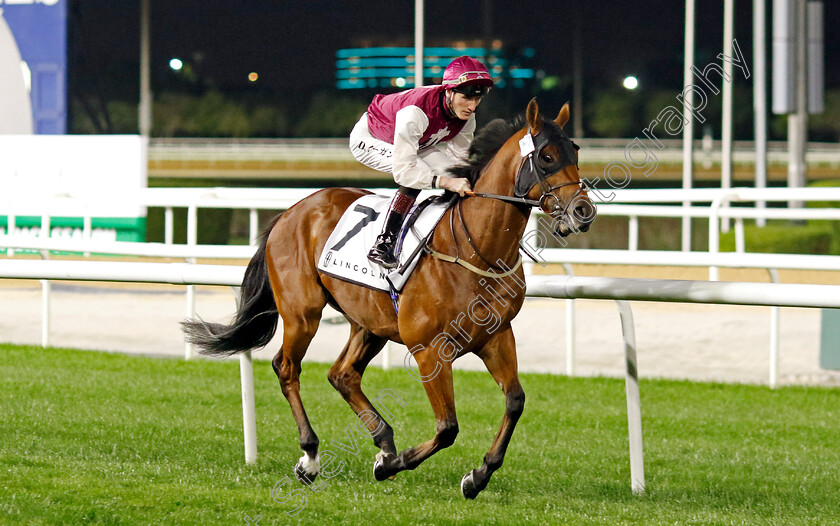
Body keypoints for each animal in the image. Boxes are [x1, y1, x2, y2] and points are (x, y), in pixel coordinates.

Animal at [182, 99, 596, 500]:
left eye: (575, 151)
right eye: (546, 156)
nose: (583, 211)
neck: (474, 249)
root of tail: (290, 211)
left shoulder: (496, 337)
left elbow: (515, 401)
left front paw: (476, 476)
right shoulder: (430, 349)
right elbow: (447, 427)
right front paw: (395, 465)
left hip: (370, 323)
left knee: (342, 374)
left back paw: (383, 441)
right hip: (303, 313)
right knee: (287, 368)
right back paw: (311, 456)